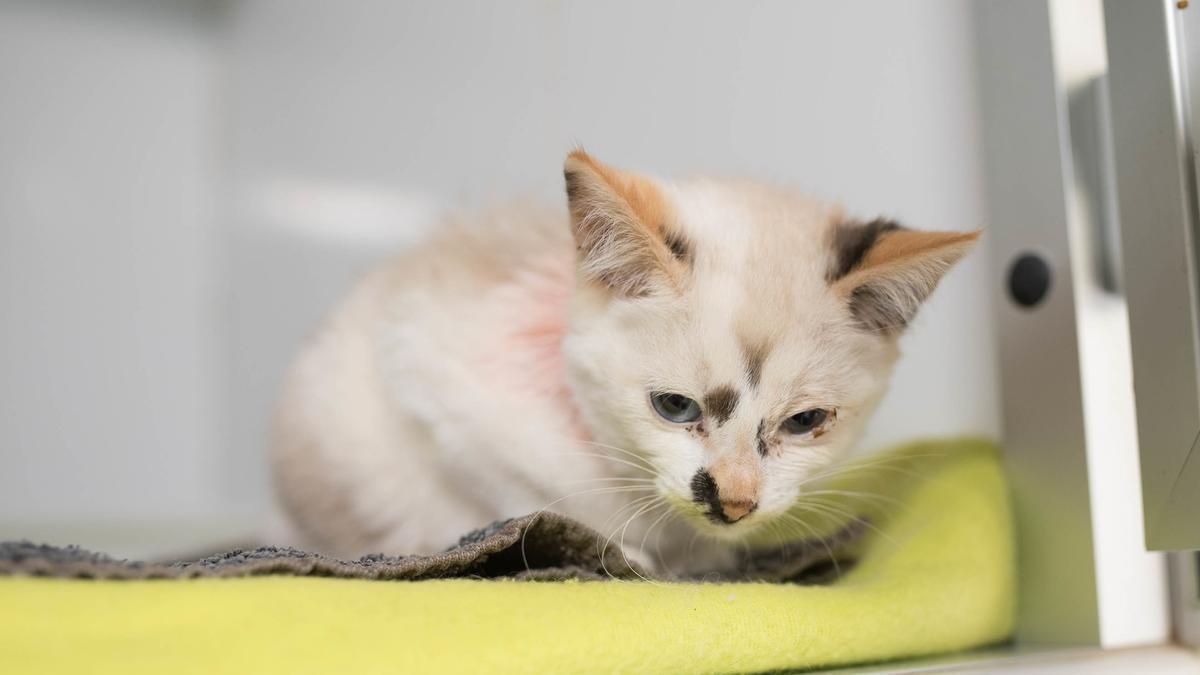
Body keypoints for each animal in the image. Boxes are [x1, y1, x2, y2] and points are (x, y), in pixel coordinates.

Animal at [270, 149, 974, 569]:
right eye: (674, 406)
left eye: (805, 423)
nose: (734, 502)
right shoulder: (426, 371)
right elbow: (523, 496)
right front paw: (630, 557)